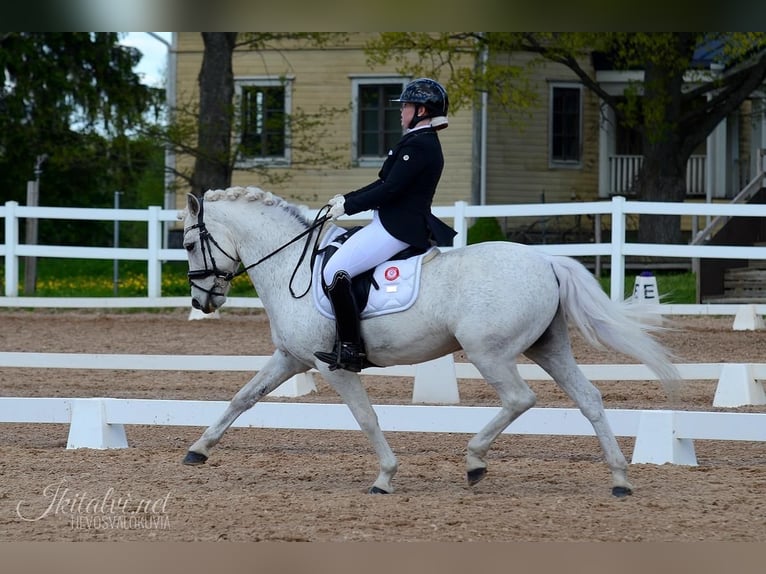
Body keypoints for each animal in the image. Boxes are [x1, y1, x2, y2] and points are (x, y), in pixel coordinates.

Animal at [179, 185, 680, 497]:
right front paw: (198, 450)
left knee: (520, 398)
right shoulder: (291, 358)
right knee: (589, 398)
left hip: (488, 352)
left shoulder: (330, 365)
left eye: (186, 243)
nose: (203, 301)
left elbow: (366, 418)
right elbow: (242, 398)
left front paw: (384, 477)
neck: (292, 265)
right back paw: (619, 479)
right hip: (548, 347)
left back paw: (476, 461)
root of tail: (548, 261)